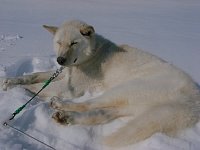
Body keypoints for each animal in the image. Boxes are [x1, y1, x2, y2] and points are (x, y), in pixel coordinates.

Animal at [0, 20, 200, 148]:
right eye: (59, 42)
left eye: (74, 43)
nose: (60, 60)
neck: (92, 53)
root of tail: (193, 100)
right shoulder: (63, 74)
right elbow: (35, 75)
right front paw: (10, 80)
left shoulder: (71, 88)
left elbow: (38, 87)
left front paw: (18, 90)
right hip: (129, 105)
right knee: (100, 114)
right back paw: (66, 117)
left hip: (121, 90)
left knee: (88, 104)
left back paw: (60, 105)